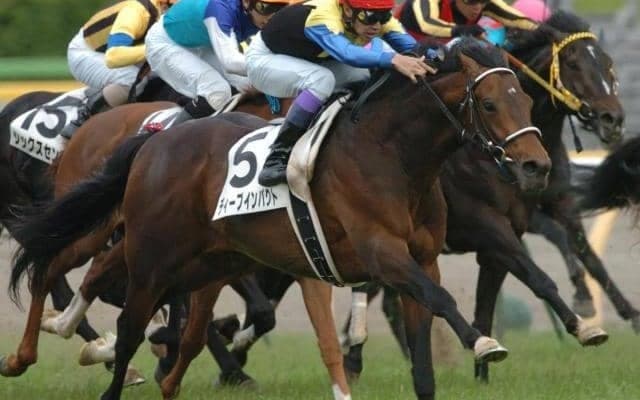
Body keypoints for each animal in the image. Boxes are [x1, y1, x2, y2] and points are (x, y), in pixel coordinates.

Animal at [8, 38, 550, 400]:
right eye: (489, 103)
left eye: (526, 99)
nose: (536, 166)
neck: (390, 154)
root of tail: (155, 141)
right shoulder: (381, 253)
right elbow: (440, 298)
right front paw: (484, 342)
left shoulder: (421, 258)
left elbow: (422, 345)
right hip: (150, 258)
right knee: (107, 314)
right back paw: (48, 353)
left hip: (202, 261)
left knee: (122, 294)